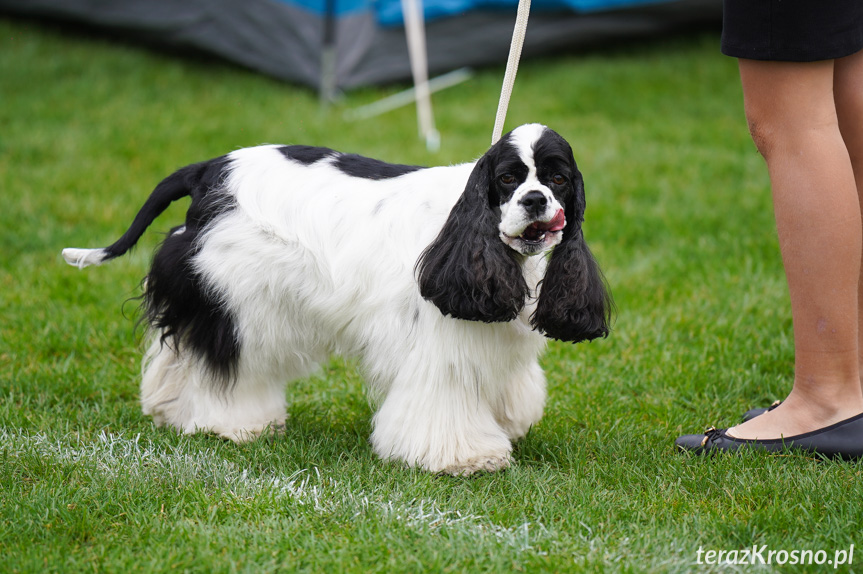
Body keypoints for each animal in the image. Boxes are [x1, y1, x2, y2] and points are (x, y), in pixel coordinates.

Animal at [62, 124, 608, 474]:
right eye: (508, 178)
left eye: (558, 178)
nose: (535, 200)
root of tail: (208, 169)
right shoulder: (437, 346)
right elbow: (444, 402)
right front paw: (468, 457)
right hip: (234, 299)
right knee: (220, 364)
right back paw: (234, 424)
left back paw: (171, 411)